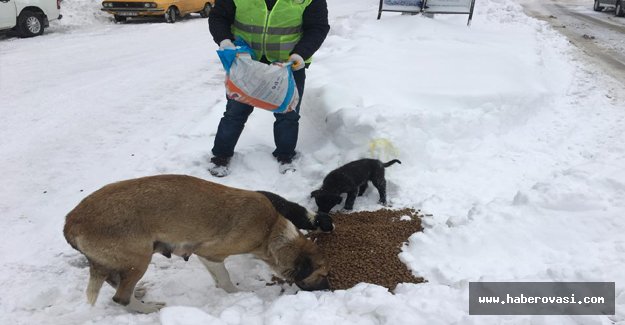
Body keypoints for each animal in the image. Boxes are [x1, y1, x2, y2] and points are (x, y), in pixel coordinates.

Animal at [62, 173, 332, 312]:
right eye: (323, 274)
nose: (329, 291)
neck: (270, 230)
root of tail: (70, 222)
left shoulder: (204, 257)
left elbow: (218, 279)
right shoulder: (212, 254)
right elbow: (227, 280)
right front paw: (238, 294)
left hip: (125, 261)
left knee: (115, 281)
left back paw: (138, 293)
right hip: (139, 259)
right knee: (121, 298)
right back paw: (149, 308)